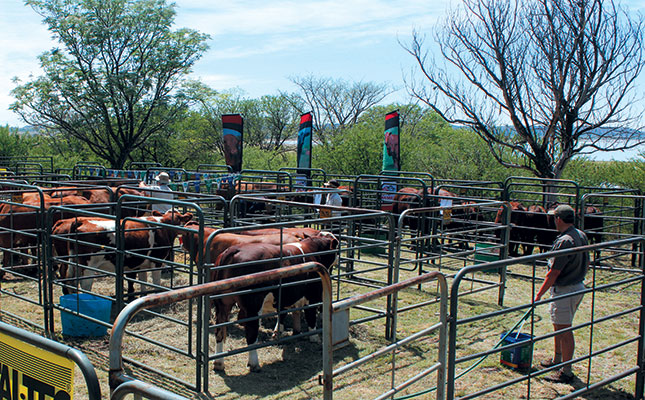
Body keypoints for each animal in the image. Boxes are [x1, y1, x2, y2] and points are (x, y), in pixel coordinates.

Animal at [213, 233, 342, 374]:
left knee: (219, 331)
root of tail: (233, 250)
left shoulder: (284, 297)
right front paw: (314, 337)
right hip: (252, 306)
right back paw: (254, 364)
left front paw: (277, 332)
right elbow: (311, 316)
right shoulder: (312, 295)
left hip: (222, 304)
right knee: (251, 333)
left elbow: (282, 314)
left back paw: (218, 363)